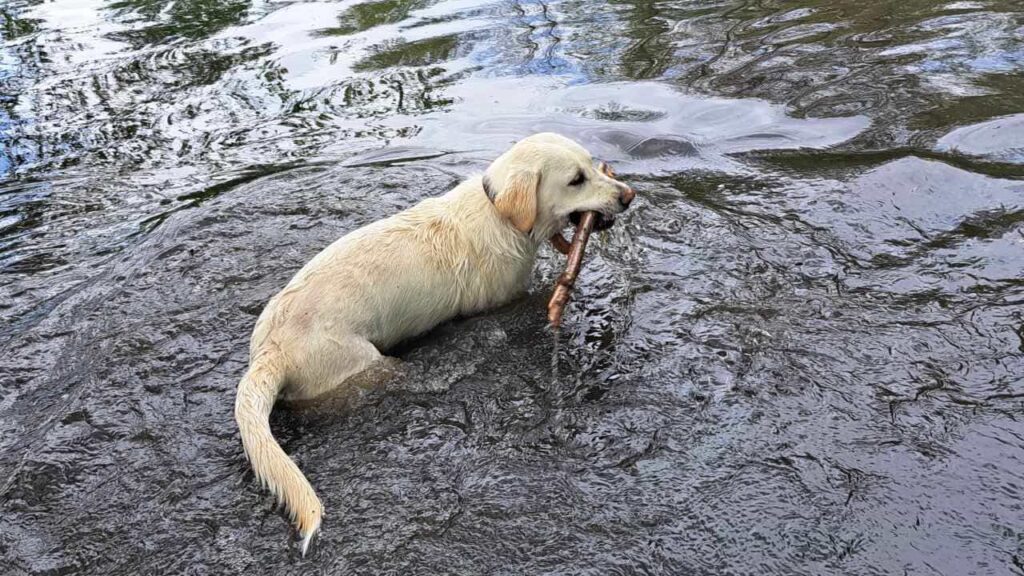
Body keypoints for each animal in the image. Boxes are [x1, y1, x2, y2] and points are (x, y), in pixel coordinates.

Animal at [235, 131, 634, 553]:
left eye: (592, 165)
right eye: (576, 180)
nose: (628, 195)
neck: (500, 215)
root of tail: (269, 353)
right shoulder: (506, 299)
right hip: (364, 363)